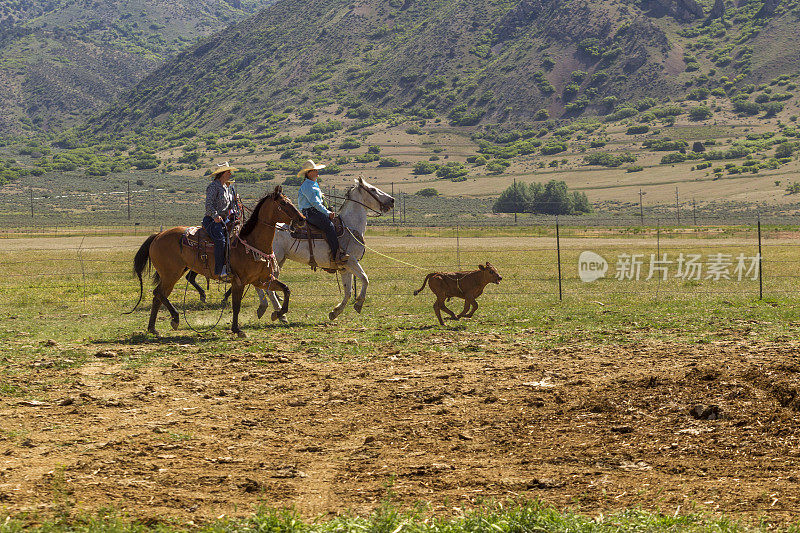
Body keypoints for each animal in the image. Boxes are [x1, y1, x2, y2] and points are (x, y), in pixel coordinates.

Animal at [130, 186, 304, 336]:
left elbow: (286, 289)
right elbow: (236, 306)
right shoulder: (239, 281)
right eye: (283, 203)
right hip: (170, 274)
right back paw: (175, 318)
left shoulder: (261, 280)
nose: (302, 219)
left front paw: (278, 313)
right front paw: (237, 329)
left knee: (158, 296)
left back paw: (153, 328)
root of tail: (158, 236)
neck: (252, 243)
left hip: (173, 274)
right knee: (158, 293)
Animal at [256, 178, 394, 320]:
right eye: (372, 189)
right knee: (266, 286)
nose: (392, 200)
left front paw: (335, 312)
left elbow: (348, 291)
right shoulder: (351, 261)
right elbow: (365, 278)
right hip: (275, 260)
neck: (350, 226)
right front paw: (359, 303)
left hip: (279, 260)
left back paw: (264, 307)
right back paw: (279, 313)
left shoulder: (345, 267)